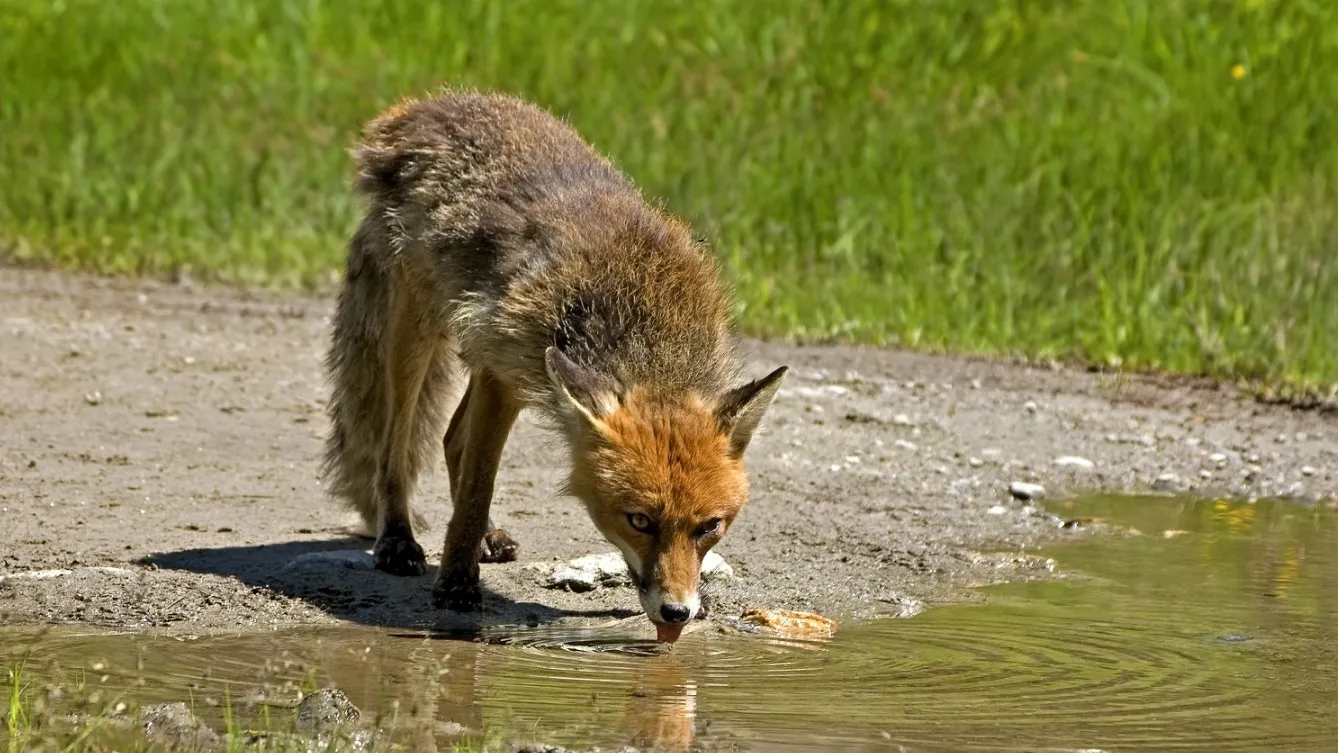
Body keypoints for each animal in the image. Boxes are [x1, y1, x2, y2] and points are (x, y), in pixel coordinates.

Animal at [321, 88, 781, 641]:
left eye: (709, 527)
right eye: (640, 521)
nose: (676, 613)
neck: (639, 324)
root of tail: (428, 105)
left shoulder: (511, 369)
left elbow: (471, 476)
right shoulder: (503, 376)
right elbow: (476, 489)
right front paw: (456, 586)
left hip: (495, 352)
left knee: (452, 438)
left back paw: (486, 539)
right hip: (424, 327)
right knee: (396, 446)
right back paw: (398, 540)